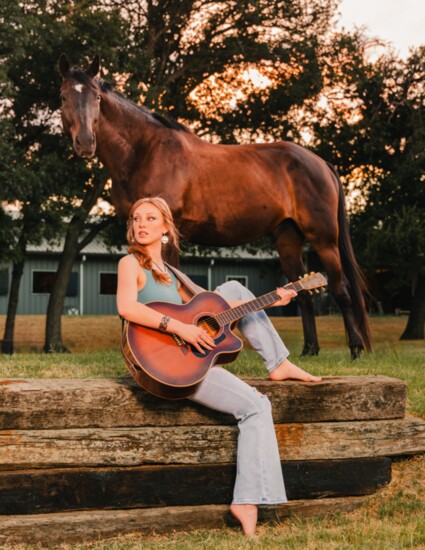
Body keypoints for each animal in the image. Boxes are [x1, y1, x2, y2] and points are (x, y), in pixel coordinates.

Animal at [58, 55, 370, 358]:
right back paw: (310, 350)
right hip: (288, 240)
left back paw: (355, 348)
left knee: (340, 289)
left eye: (97, 97)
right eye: (63, 96)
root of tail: (321, 163)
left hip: (324, 239)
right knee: (302, 295)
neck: (145, 152)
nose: (85, 142)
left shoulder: (168, 234)